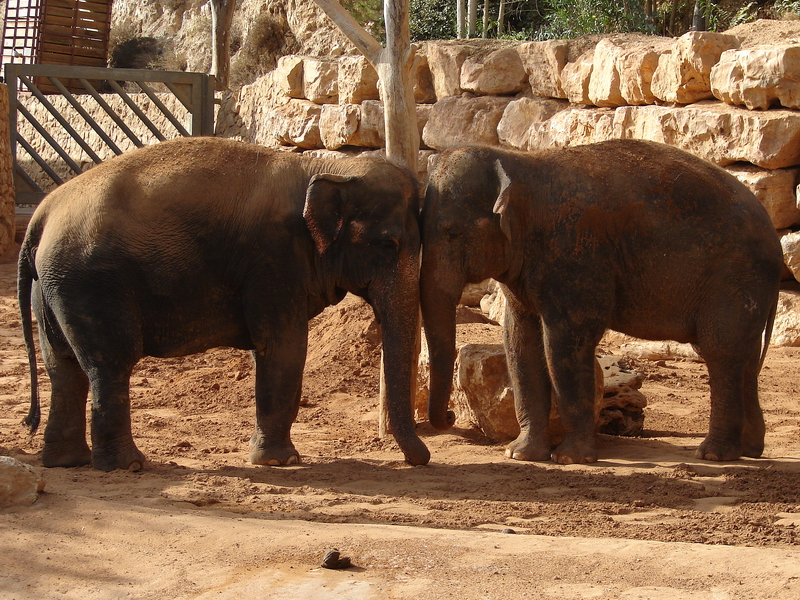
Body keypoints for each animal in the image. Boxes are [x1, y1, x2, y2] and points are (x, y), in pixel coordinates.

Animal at [18, 136, 431, 471]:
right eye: (389, 244)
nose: (421, 459)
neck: (323, 167)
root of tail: (42, 214)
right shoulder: (273, 260)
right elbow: (284, 348)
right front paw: (281, 461)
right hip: (91, 283)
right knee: (110, 363)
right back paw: (128, 466)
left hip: (52, 287)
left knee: (63, 367)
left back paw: (67, 462)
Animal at [420, 139, 783, 465]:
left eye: (452, 232)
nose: (450, 415)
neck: (519, 161)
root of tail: (775, 239)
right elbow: (519, 342)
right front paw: (520, 454)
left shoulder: (576, 256)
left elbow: (564, 343)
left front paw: (570, 459)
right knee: (743, 356)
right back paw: (749, 450)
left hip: (735, 278)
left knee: (720, 351)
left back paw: (714, 455)